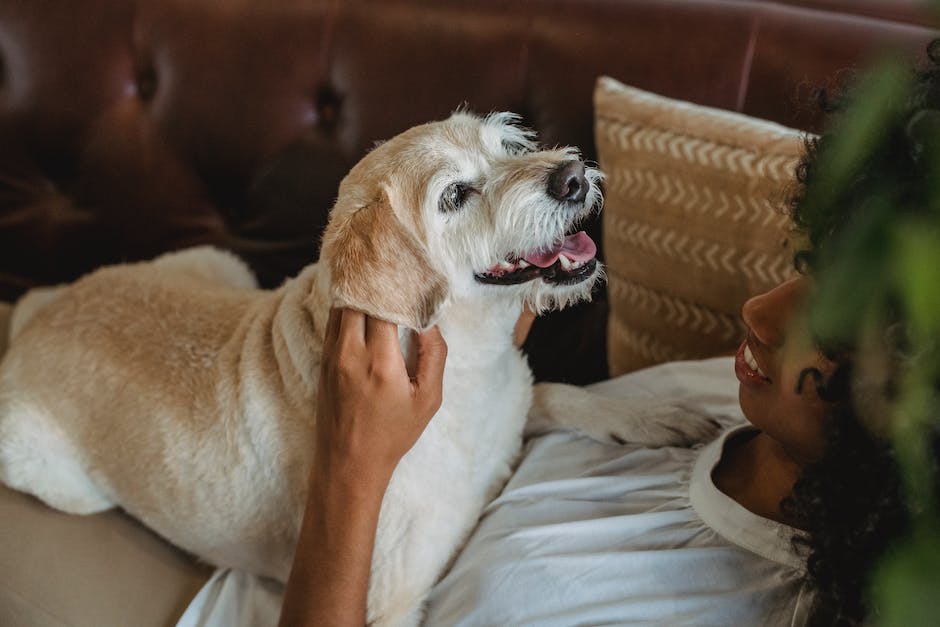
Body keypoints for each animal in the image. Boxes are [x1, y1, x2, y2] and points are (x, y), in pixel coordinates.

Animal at [0, 111, 712, 624]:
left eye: (508, 145)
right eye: (455, 195)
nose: (572, 175)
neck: (471, 363)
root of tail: (37, 315)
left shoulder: (515, 399)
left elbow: (565, 393)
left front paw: (656, 417)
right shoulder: (391, 601)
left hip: (217, 262)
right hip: (60, 480)